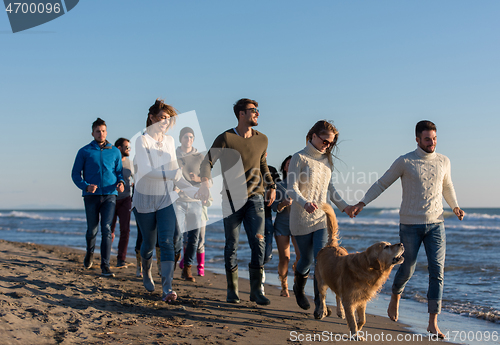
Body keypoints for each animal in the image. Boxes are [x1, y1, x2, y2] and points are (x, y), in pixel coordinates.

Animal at [314, 204, 404, 338]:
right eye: (386, 247)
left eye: (390, 244)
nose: (402, 244)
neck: (367, 270)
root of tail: (331, 245)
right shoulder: (350, 300)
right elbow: (351, 318)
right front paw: (355, 334)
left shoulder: (362, 300)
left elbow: (363, 319)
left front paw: (358, 327)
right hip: (321, 281)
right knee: (322, 297)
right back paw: (322, 311)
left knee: (337, 295)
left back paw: (340, 312)